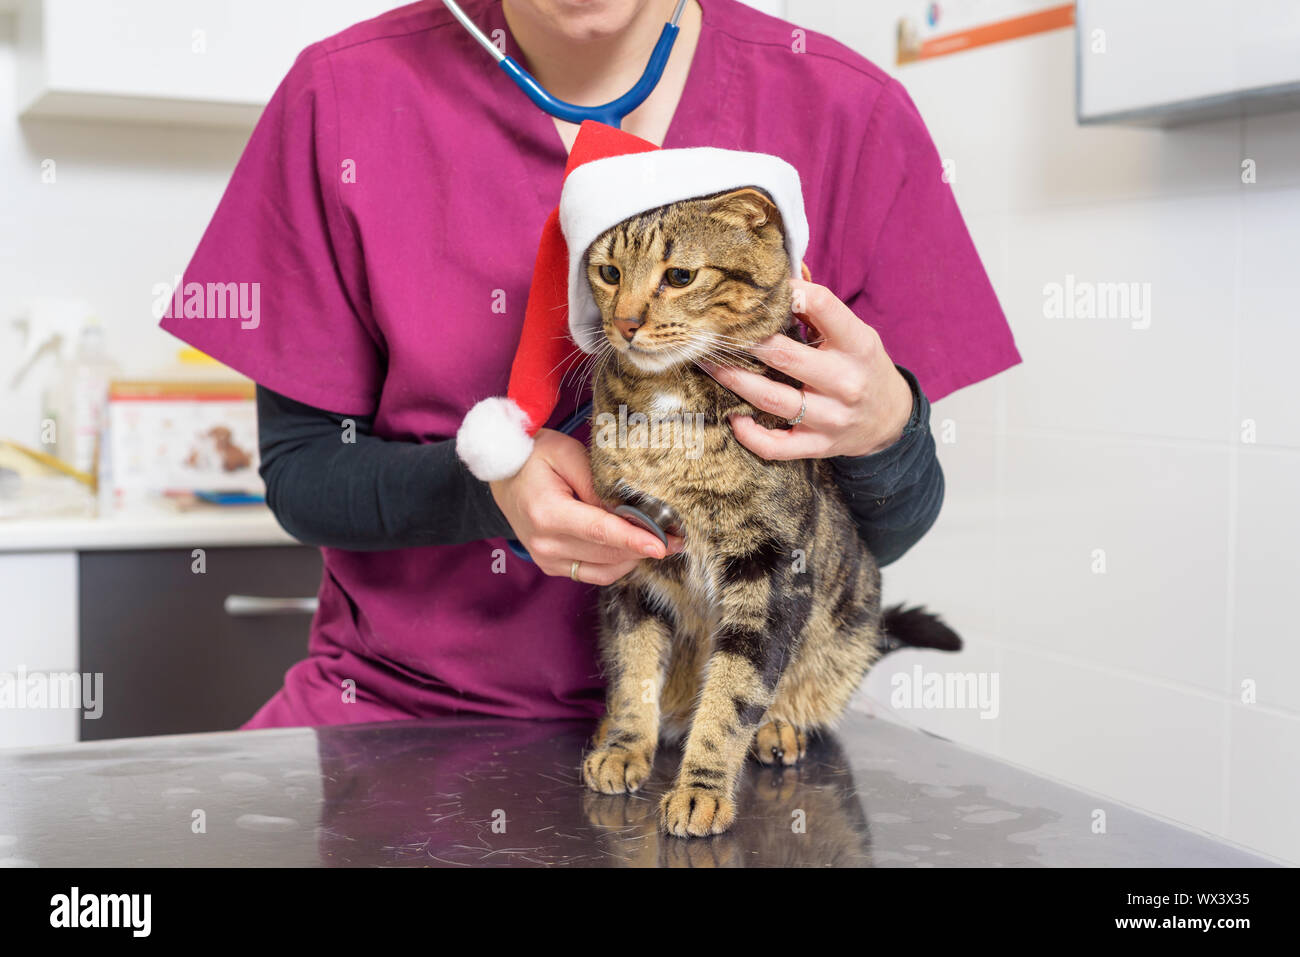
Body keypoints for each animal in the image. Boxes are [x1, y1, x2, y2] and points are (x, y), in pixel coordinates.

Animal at [579, 187, 956, 837]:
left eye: (679, 276)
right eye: (608, 273)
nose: (625, 323)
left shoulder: (770, 568)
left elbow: (733, 693)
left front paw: (700, 791)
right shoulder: (633, 561)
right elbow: (633, 671)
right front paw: (626, 747)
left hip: (848, 623)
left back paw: (779, 727)